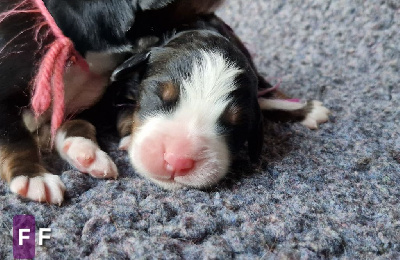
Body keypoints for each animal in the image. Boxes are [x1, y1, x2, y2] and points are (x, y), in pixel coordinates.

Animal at [112, 14, 332, 189]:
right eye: (159, 95)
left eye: (235, 123)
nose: (177, 160)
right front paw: (127, 139)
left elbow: (268, 93)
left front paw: (306, 108)